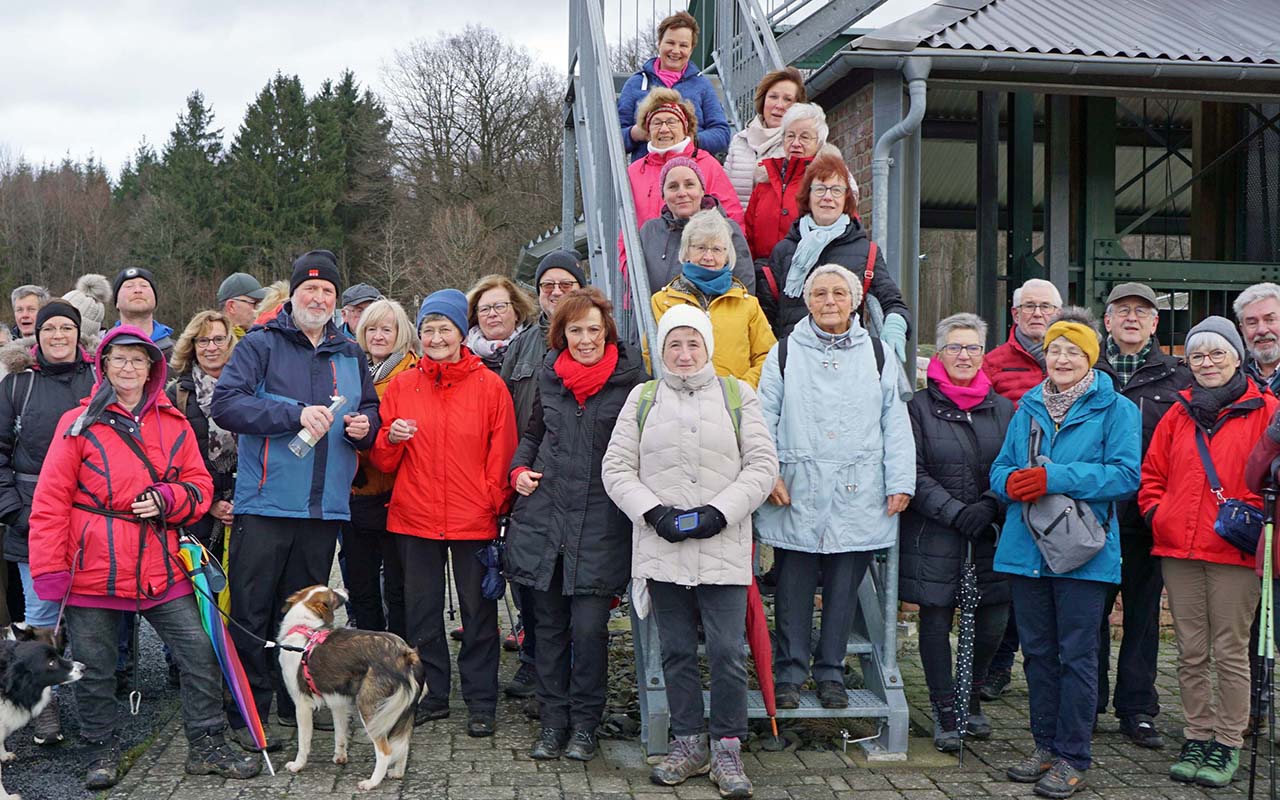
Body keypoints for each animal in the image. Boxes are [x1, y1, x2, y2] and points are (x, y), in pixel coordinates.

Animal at [276, 583, 424, 788]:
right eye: (332, 593)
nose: (346, 590)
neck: (304, 626)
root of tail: (405, 654)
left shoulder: (302, 704)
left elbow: (303, 742)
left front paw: (298, 765)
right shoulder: (338, 702)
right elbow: (340, 733)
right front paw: (340, 757)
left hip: (370, 709)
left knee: (385, 751)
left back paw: (371, 783)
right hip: (402, 711)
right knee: (404, 744)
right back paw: (397, 773)